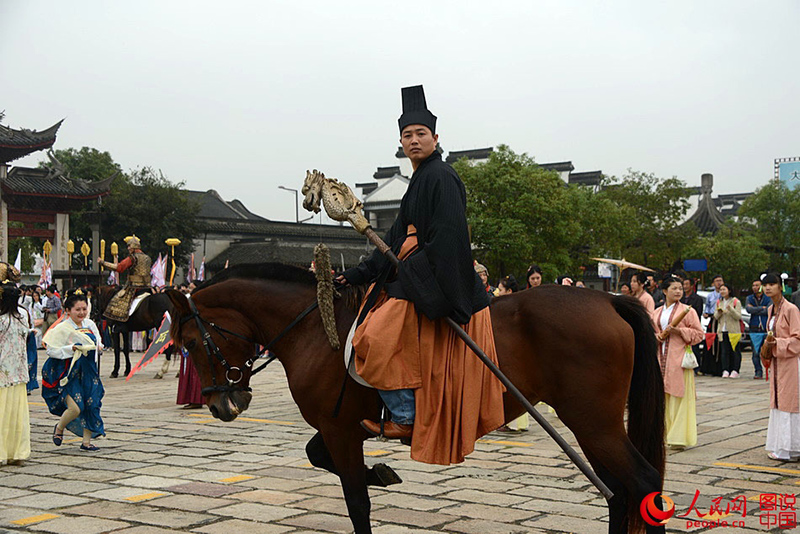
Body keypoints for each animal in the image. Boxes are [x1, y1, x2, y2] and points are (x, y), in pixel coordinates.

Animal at [166, 266, 664, 534]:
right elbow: (317, 456)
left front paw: (372, 480)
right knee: (621, 493)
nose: (220, 404)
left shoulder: (339, 428)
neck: (317, 329)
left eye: (189, 342)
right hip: (592, 426)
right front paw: (382, 473)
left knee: (641, 483)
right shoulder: (340, 427)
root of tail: (609, 301)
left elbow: (356, 499)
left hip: (593, 422)